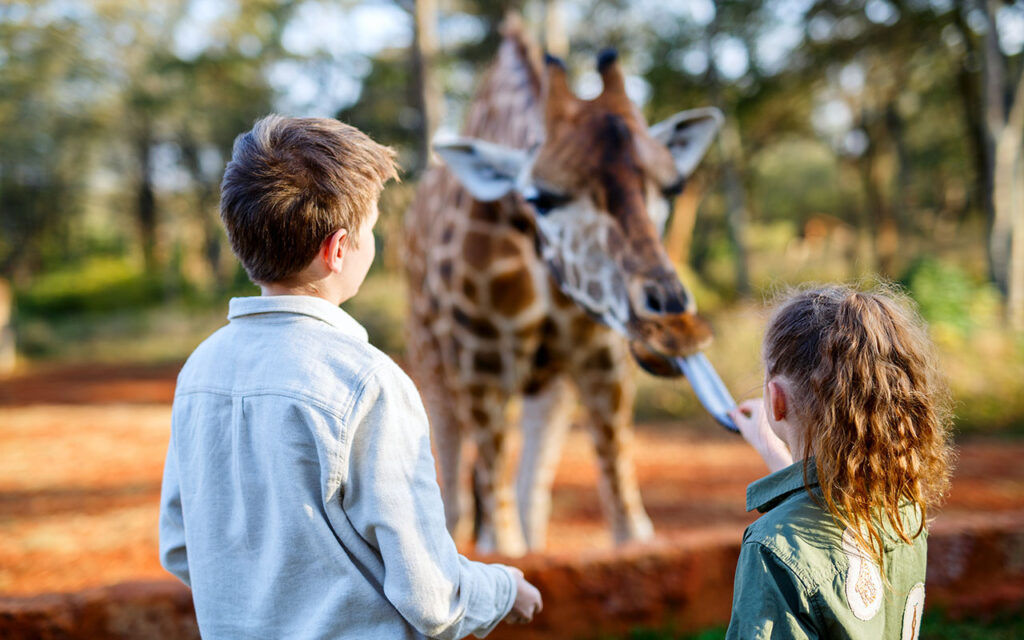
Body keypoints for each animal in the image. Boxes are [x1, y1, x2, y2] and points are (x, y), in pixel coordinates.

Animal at [403, 19, 724, 552]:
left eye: (672, 188)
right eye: (541, 198)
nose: (674, 328)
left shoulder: (601, 359)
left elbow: (629, 527)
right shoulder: (481, 365)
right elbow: (500, 542)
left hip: (548, 382)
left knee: (530, 496)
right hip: (431, 358)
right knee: (458, 498)